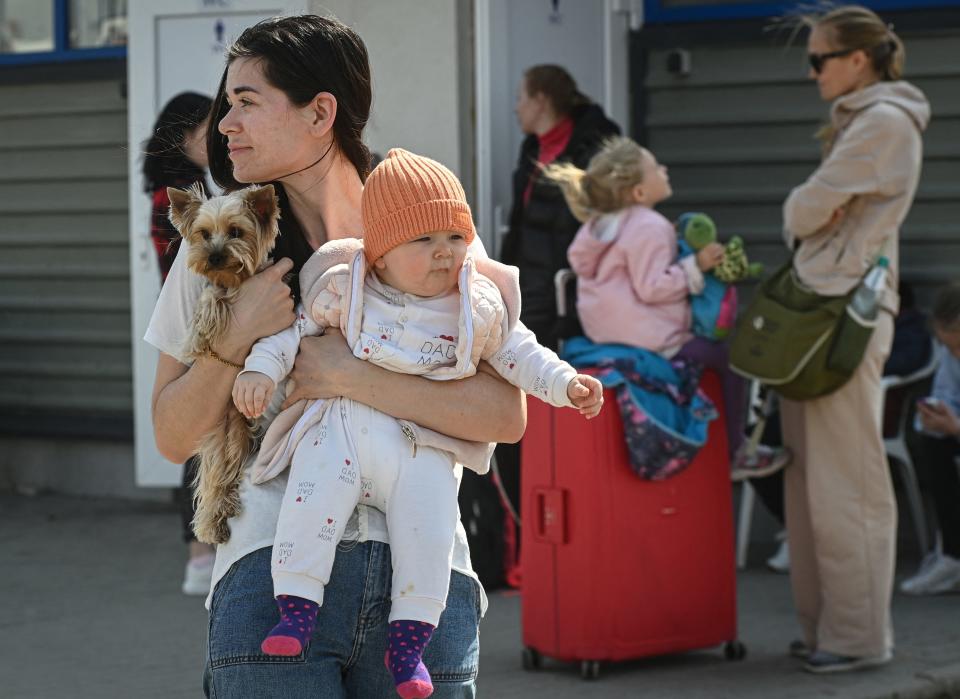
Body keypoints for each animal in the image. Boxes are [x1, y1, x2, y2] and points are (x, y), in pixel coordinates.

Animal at [167, 185, 282, 548]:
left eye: (235, 232)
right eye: (204, 234)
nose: (214, 257)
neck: (233, 279)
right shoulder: (215, 286)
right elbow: (209, 296)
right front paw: (199, 333)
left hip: (235, 436)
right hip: (222, 433)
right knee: (216, 478)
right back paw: (212, 524)